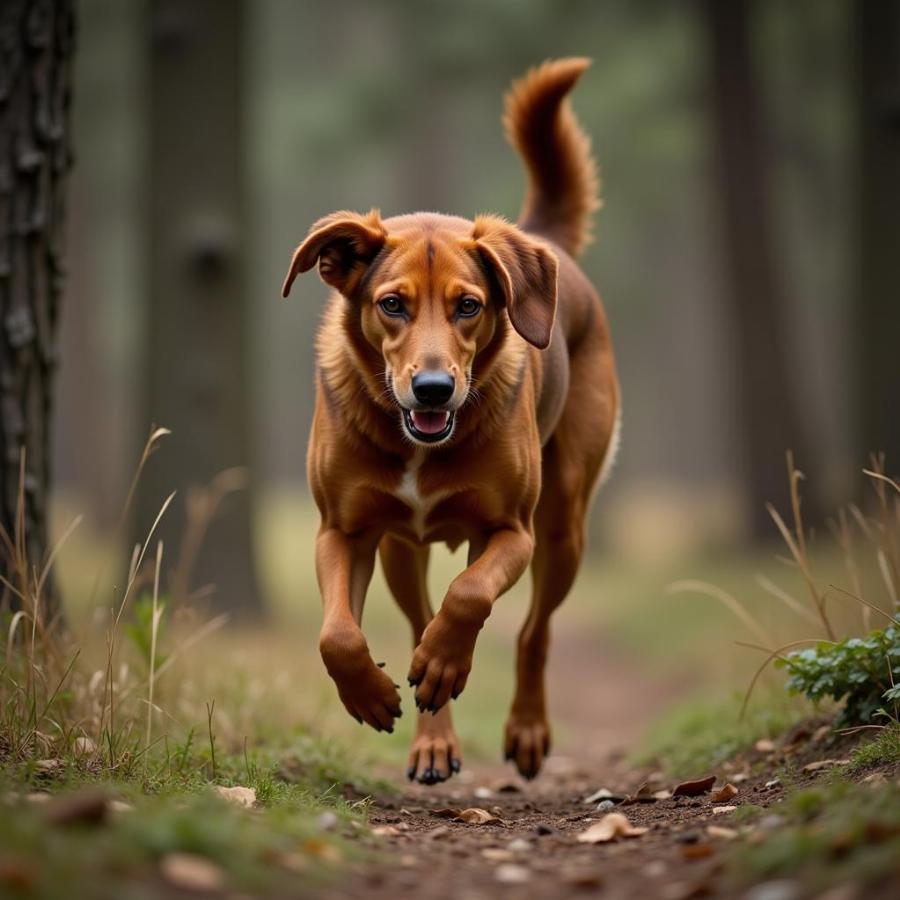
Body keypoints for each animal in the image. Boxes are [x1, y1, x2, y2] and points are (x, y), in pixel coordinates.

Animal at [282, 59, 620, 784]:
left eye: (469, 306)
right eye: (391, 304)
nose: (433, 388)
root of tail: (544, 241)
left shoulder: (512, 530)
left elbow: (469, 597)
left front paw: (445, 663)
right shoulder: (341, 529)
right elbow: (336, 633)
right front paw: (372, 692)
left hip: (563, 526)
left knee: (532, 630)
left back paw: (519, 724)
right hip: (399, 551)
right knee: (419, 618)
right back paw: (432, 734)